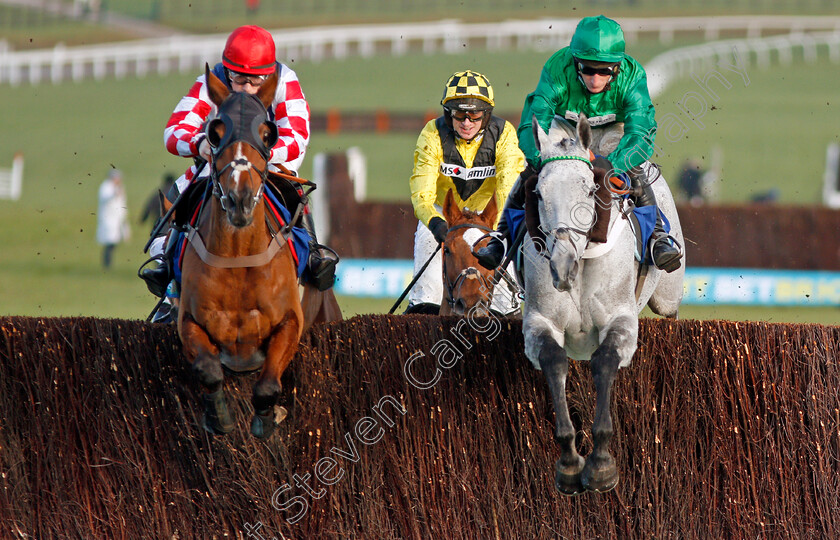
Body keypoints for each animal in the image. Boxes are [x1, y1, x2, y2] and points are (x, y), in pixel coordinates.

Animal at [180, 67, 316, 438]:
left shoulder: (291, 321)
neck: (238, 260)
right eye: (215, 133)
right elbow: (208, 369)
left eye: (267, 134)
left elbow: (268, 385)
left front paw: (268, 419)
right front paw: (218, 417)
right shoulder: (188, 319)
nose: (239, 198)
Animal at [520, 113, 684, 494]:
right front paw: (569, 462)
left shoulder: (621, 319)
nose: (562, 265)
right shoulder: (538, 321)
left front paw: (601, 464)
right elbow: (553, 360)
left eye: (589, 189)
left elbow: (605, 361)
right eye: (538, 192)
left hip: (668, 296)